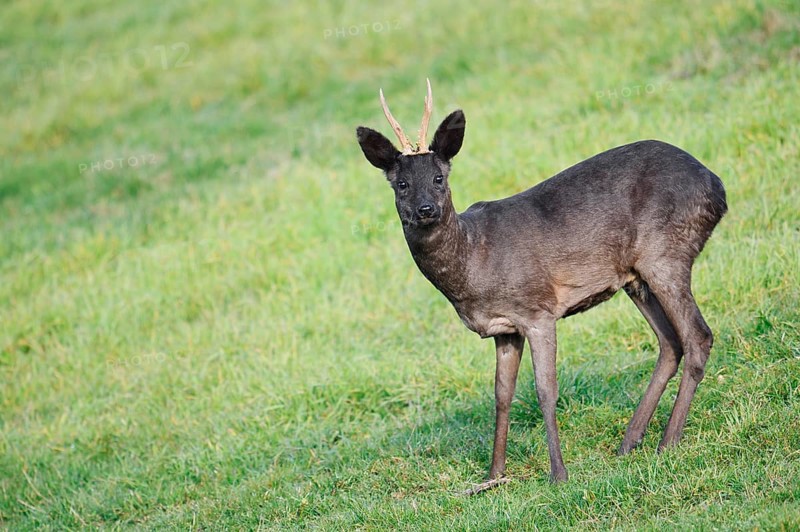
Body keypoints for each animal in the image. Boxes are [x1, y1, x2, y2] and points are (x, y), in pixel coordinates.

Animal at [355, 80, 727, 489]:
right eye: (402, 184)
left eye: (439, 178)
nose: (425, 210)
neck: (474, 262)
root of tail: (718, 187)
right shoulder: (505, 329)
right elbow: (502, 396)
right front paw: (494, 474)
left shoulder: (538, 309)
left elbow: (545, 391)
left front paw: (558, 473)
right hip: (636, 276)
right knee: (670, 343)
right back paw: (629, 442)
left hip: (666, 253)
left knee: (698, 336)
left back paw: (667, 441)